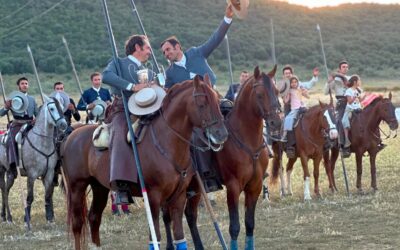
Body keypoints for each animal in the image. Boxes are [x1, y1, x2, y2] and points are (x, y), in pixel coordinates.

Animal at [0, 95, 67, 225]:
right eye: (51, 108)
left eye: (61, 107)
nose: (63, 124)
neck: (42, 142)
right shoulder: (31, 175)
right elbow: (30, 197)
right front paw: (27, 219)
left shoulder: (49, 173)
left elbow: (48, 195)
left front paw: (49, 218)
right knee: (5, 191)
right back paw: (9, 217)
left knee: (4, 189)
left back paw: (4, 216)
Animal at [60, 76, 228, 250]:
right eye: (202, 103)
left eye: (217, 100)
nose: (221, 135)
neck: (165, 142)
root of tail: (71, 135)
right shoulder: (154, 197)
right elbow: (156, 236)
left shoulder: (178, 197)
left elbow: (179, 235)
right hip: (77, 186)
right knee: (77, 223)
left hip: (99, 187)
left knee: (94, 217)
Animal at [164, 66, 282, 250]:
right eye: (260, 94)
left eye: (276, 91)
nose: (276, 122)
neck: (246, 140)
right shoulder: (233, 187)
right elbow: (234, 227)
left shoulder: (254, 186)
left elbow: (250, 224)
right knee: (167, 216)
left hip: (195, 187)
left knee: (190, 215)